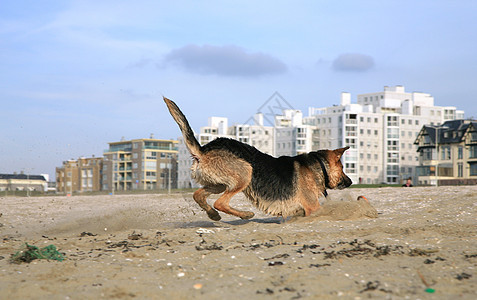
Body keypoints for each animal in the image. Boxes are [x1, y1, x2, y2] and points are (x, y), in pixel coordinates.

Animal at [162, 96, 352, 220]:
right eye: (343, 168)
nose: (350, 182)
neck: (319, 166)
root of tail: (203, 150)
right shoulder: (313, 207)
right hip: (246, 172)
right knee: (220, 203)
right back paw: (245, 214)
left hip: (218, 183)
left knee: (198, 195)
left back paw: (213, 215)